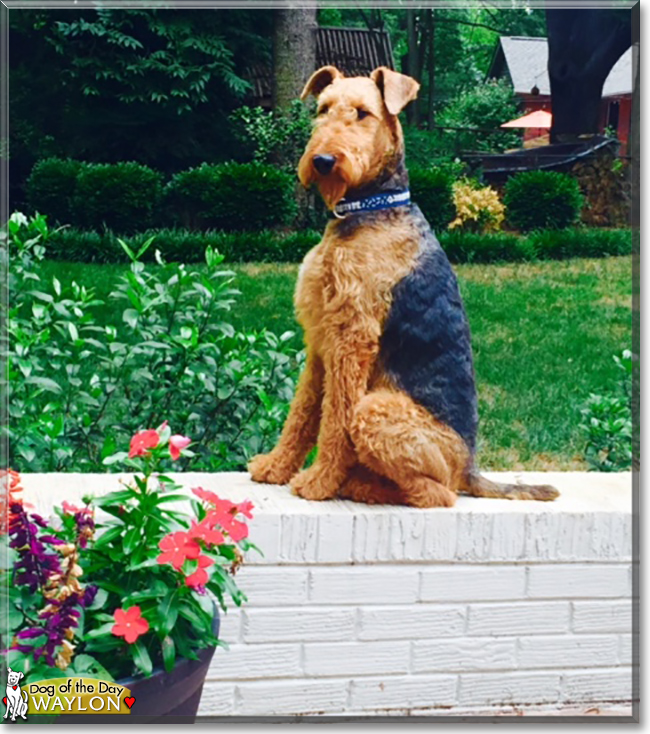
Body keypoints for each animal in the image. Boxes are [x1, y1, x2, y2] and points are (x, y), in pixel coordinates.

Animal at [248, 66, 556, 508]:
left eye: (362, 113)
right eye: (323, 109)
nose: (322, 161)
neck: (370, 209)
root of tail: (471, 467)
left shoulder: (352, 339)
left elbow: (333, 418)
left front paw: (318, 481)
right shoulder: (320, 340)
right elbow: (303, 411)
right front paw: (275, 466)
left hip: (376, 412)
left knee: (438, 492)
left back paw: (358, 484)